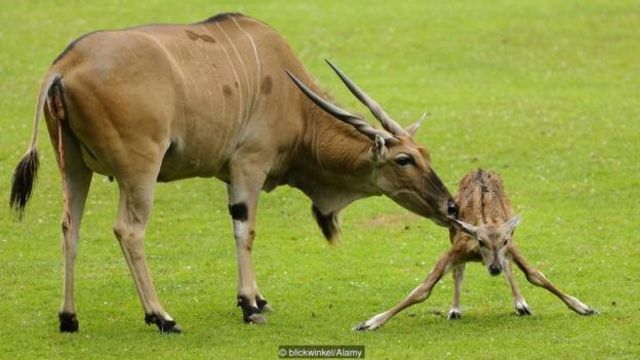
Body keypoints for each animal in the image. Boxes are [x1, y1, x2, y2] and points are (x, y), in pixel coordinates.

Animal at [11, 12, 460, 334]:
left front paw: (257, 298)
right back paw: (161, 316)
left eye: (425, 153)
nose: (451, 206)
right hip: (140, 170)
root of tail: (64, 65)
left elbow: (237, 231)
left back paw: (69, 318)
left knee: (70, 227)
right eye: (405, 160)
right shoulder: (249, 166)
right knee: (129, 230)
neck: (295, 102)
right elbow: (246, 231)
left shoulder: (233, 176)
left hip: (73, 165)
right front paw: (249, 305)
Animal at [356, 169, 596, 332]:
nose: (494, 268)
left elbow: (535, 275)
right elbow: (423, 289)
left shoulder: (512, 245)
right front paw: (369, 323)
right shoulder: (457, 248)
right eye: (480, 242)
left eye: (504, 241)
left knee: (509, 268)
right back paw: (455, 310)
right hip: (452, 233)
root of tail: (480, 169)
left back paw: (521, 304)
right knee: (459, 272)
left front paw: (584, 307)